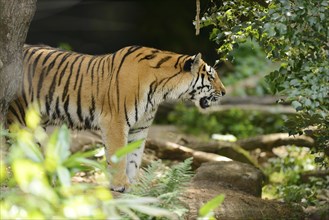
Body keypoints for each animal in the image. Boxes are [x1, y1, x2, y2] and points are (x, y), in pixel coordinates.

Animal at [7, 45, 226, 192]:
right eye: (211, 77)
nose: (224, 92)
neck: (162, 90)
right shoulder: (115, 122)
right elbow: (119, 155)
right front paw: (120, 185)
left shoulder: (140, 127)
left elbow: (134, 157)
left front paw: (134, 185)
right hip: (18, 119)